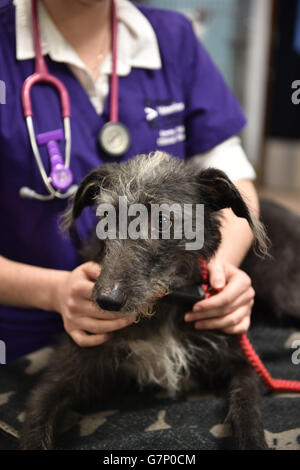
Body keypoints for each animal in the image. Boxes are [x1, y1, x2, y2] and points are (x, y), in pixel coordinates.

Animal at [19, 152, 298, 450]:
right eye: (105, 218)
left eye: (162, 221)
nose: (106, 300)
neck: (162, 306)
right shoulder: (61, 374)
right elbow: (37, 420)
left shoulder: (241, 363)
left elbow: (248, 411)